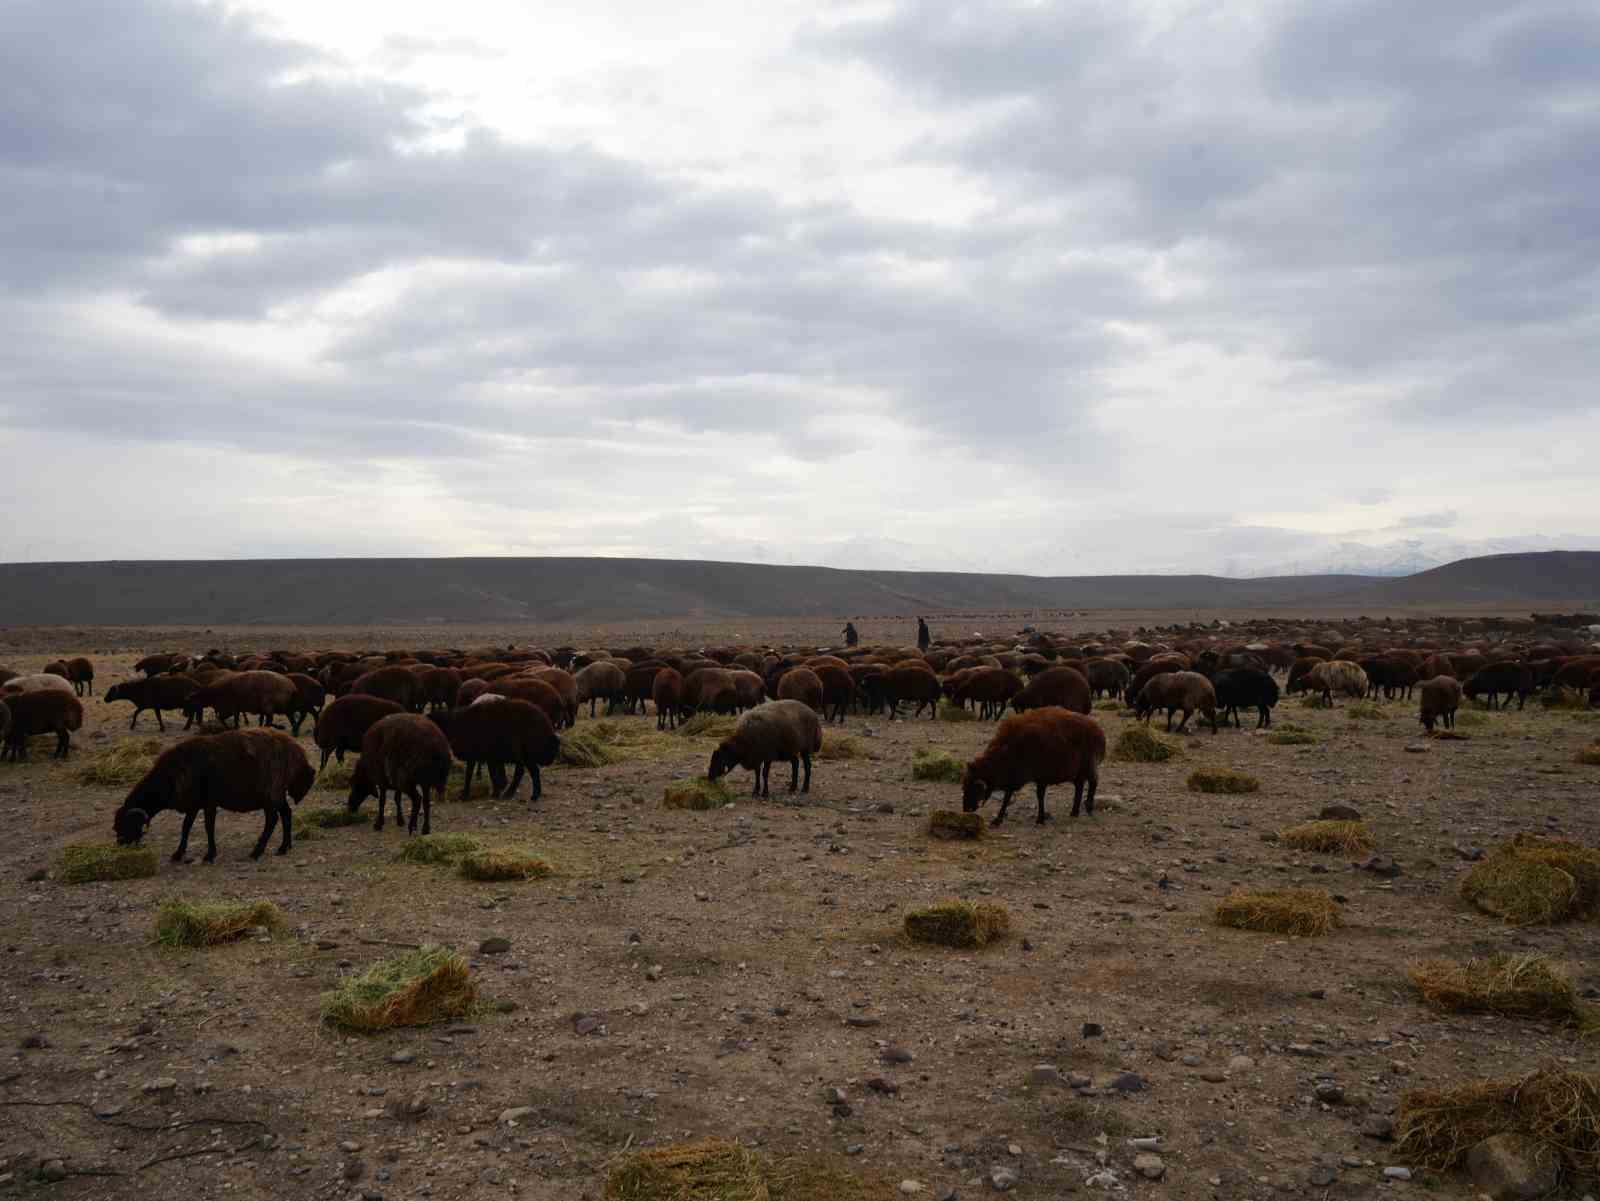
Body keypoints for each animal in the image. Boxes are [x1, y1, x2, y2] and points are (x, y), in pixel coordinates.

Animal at [113, 722, 315, 863]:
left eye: (127, 825)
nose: (121, 846)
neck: (173, 774)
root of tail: (298, 753)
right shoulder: (193, 805)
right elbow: (186, 827)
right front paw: (178, 854)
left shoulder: (209, 802)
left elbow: (208, 826)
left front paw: (210, 855)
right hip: (278, 793)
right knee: (286, 813)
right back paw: (284, 847)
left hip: (270, 793)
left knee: (272, 820)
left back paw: (257, 852)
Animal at [432, 700, 563, 802]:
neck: (456, 725)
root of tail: (547, 728)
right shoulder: (485, 756)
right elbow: (485, 773)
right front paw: (495, 791)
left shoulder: (481, 754)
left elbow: (473, 774)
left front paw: (467, 795)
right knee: (528, 771)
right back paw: (523, 794)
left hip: (525, 754)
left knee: (527, 772)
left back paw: (522, 794)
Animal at [953, 713, 1107, 825]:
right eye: (964, 786)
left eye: (974, 787)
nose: (966, 810)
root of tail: (1098, 731)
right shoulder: (1014, 777)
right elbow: (1007, 797)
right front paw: (998, 819)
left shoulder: (1040, 776)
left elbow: (1039, 795)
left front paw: (1040, 819)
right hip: (1077, 772)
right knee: (1079, 786)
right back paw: (1074, 812)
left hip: (1088, 765)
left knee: (1093, 782)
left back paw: (1088, 808)